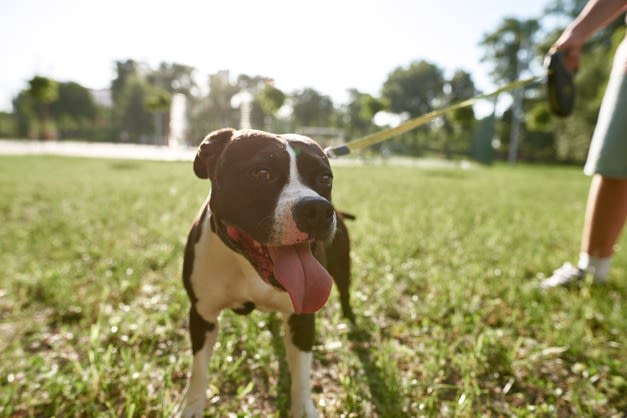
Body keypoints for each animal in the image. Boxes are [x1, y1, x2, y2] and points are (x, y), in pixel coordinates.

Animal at [183, 129, 354, 416]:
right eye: (261, 173)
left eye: (325, 178)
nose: (318, 209)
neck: (247, 266)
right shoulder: (202, 314)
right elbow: (199, 370)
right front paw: (192, 407)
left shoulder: (302, 319)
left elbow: (302, 375)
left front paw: (303, 408)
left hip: (342, 266)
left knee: (345, 290)